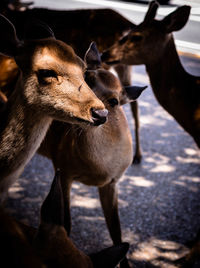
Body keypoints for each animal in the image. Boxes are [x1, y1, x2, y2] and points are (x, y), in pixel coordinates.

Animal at [38, 42, 146, 268]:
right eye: (87, 77)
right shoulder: (63, 168)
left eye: (114, 101)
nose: (95, 113)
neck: (97, 168)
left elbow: (117, 232)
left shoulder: (113, 181)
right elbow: (66, 223)